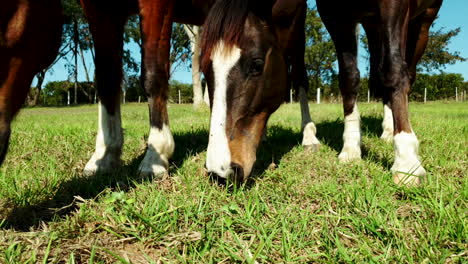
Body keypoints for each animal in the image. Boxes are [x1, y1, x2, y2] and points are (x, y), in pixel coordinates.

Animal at [199, 0, 320, 182]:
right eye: (203, 68)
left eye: (257, 65)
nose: (220, 172)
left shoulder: (300, 16)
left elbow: (299, 76)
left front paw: (309, 136)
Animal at [316, 0, 444, 186]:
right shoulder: (333, 14)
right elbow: (349, 77)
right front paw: (350, 149)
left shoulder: (395, 5)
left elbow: (393, 68)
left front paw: (406, 163)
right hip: (374, 26)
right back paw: (389, 130)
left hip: (422, 21)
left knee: (406, 70)